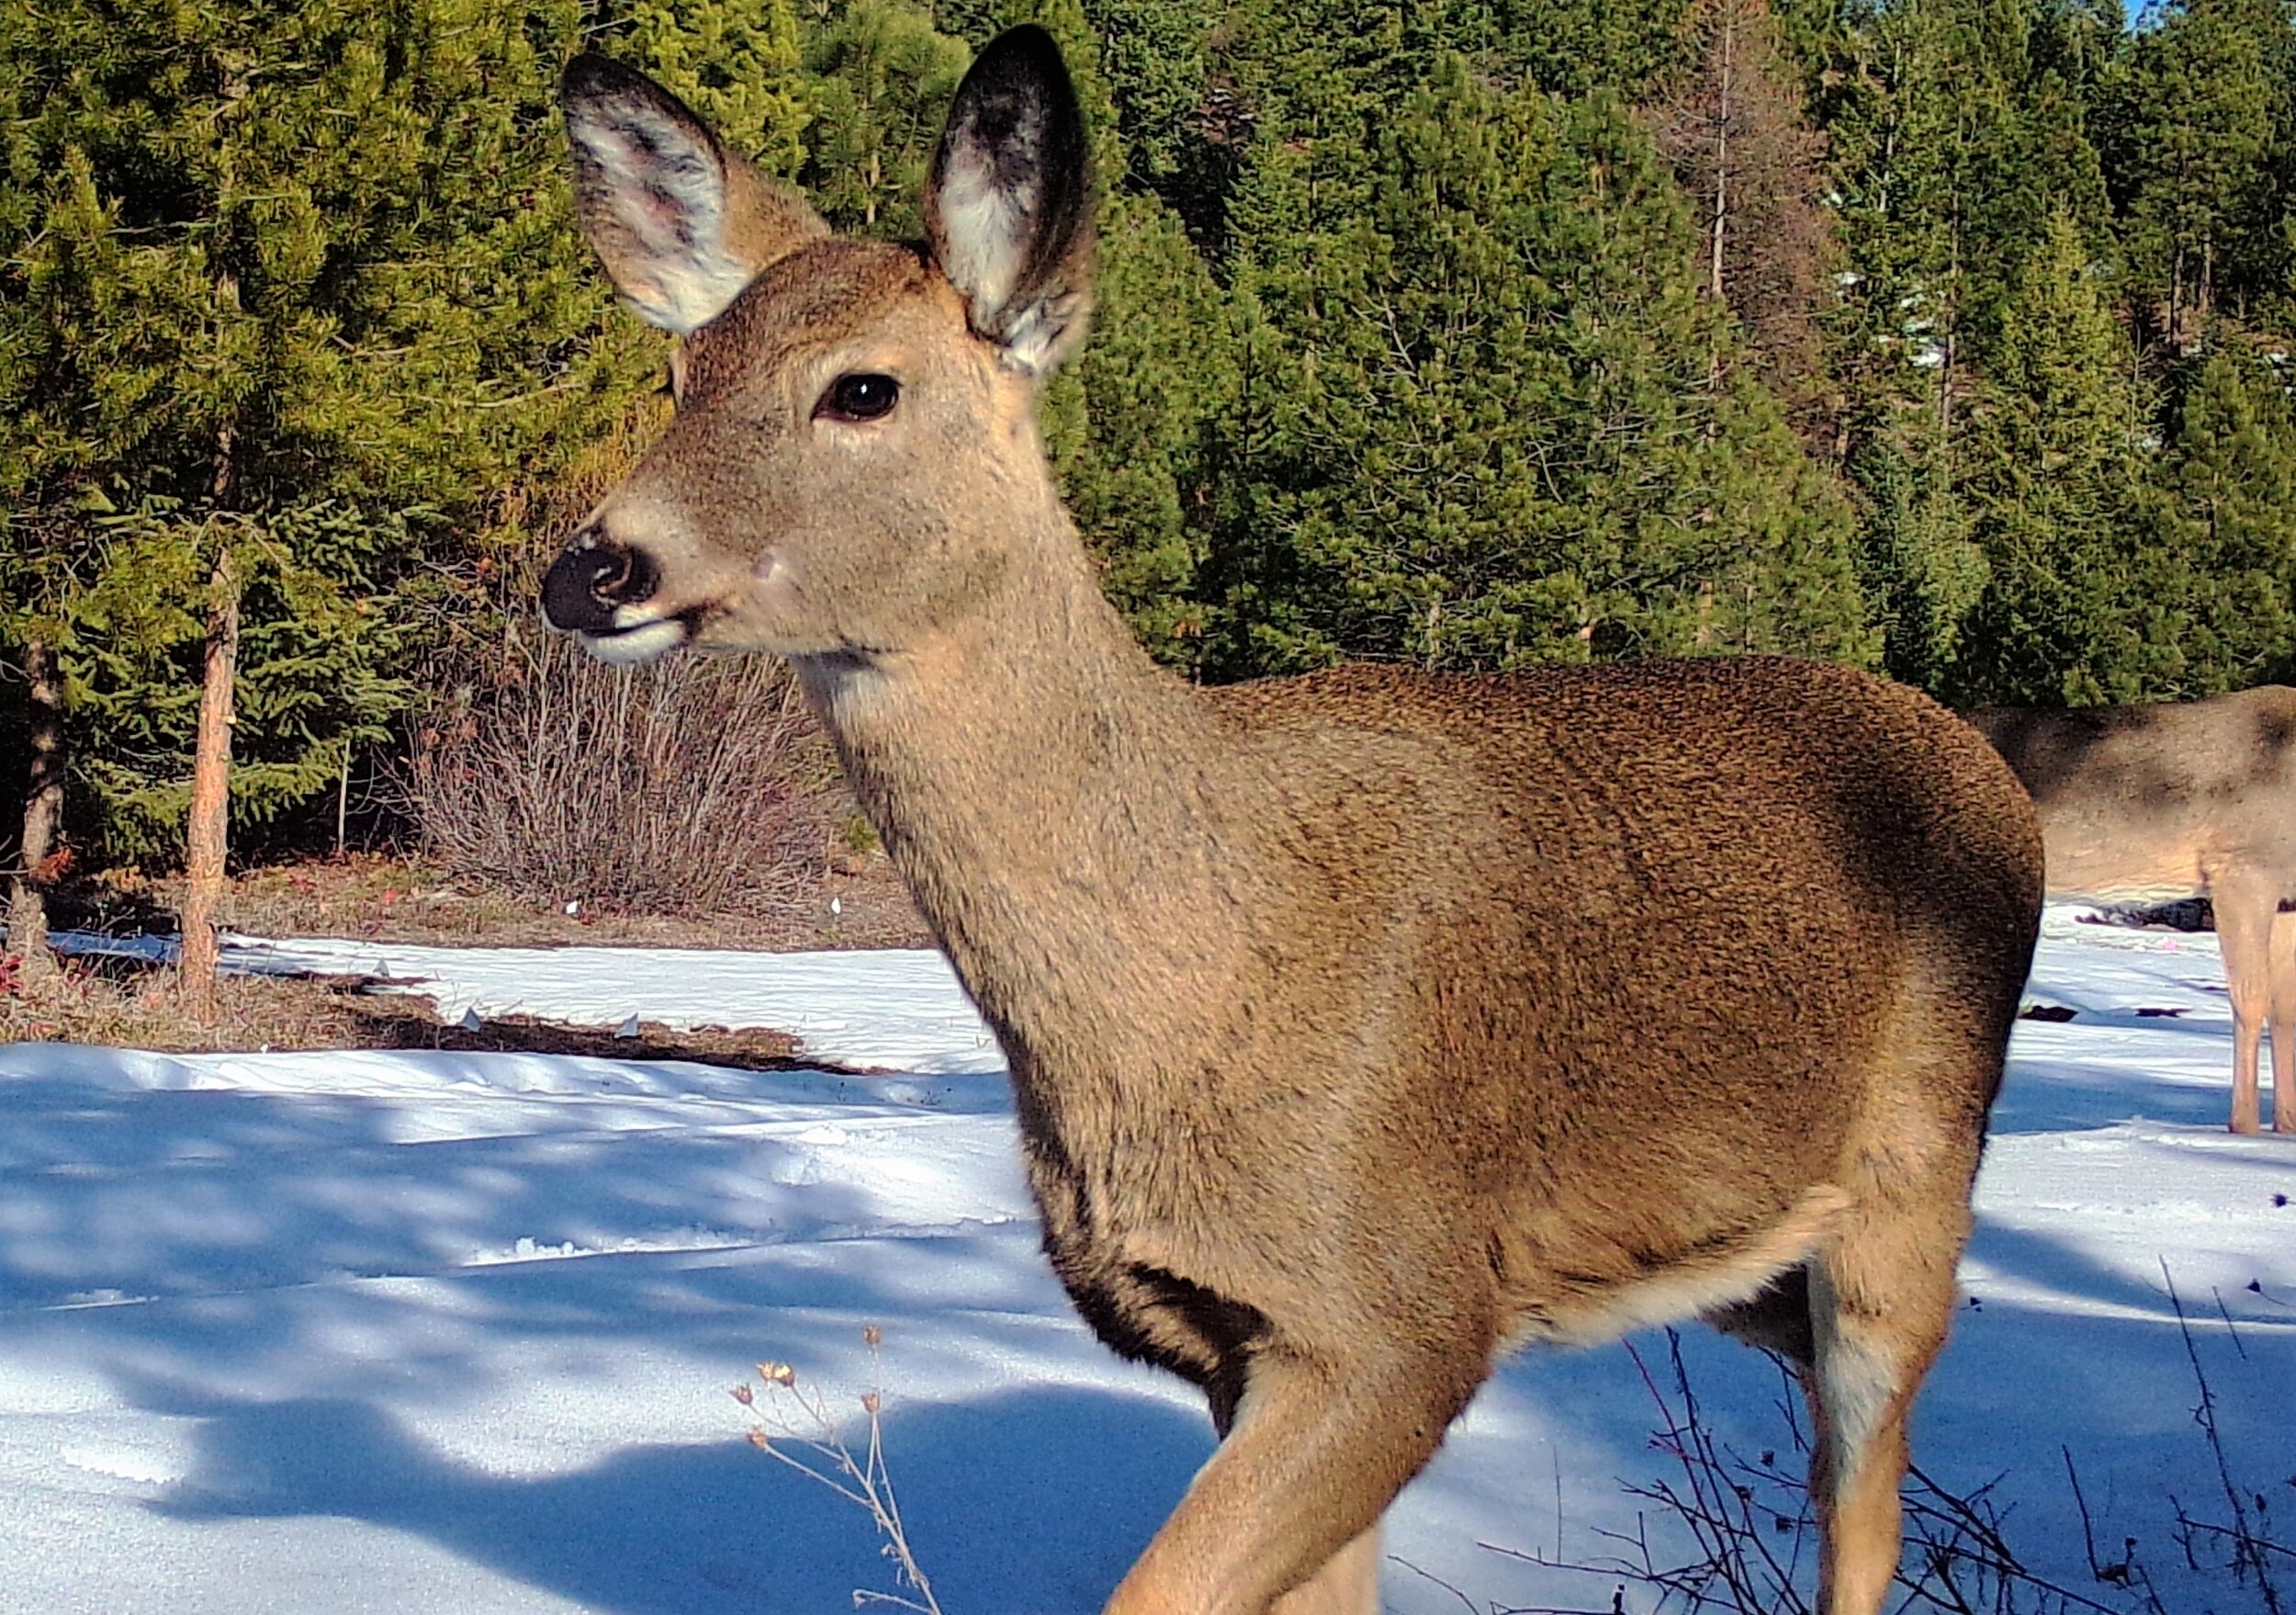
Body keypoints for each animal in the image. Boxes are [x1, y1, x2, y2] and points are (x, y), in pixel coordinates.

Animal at [542, 25, 2048, 1615]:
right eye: (684, 370)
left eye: (862, 391)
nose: (591, 570)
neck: (1191, 985)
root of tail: (1989, 761)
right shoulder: (1231, 1335)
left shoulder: (1399, 1313)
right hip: (1749, 1259)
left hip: (1912, 1180)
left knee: (1866, 1500)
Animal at [1965, 684, 2296, 1139]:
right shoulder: (2241, 868)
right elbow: (2251, 1002)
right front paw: (2243, 1130)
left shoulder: (2286, 897)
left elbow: (2285, 1009)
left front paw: (2287, 1126)